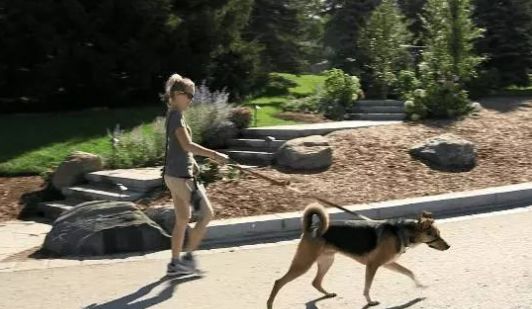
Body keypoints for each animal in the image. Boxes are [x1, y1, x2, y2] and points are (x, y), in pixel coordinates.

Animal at [266, 203, 448, 306]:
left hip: (326, 261)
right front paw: (370, 301)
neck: (402, 231)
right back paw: (269, 303)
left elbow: (410, 272)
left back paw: (327, 294)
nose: (448, 246)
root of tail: (311, 228)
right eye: (436, 235)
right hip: (304, 263)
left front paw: (420, 286)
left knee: (315, 282)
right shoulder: (373, 265)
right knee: (278, 282)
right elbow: (367, 287)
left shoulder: (388, 263)